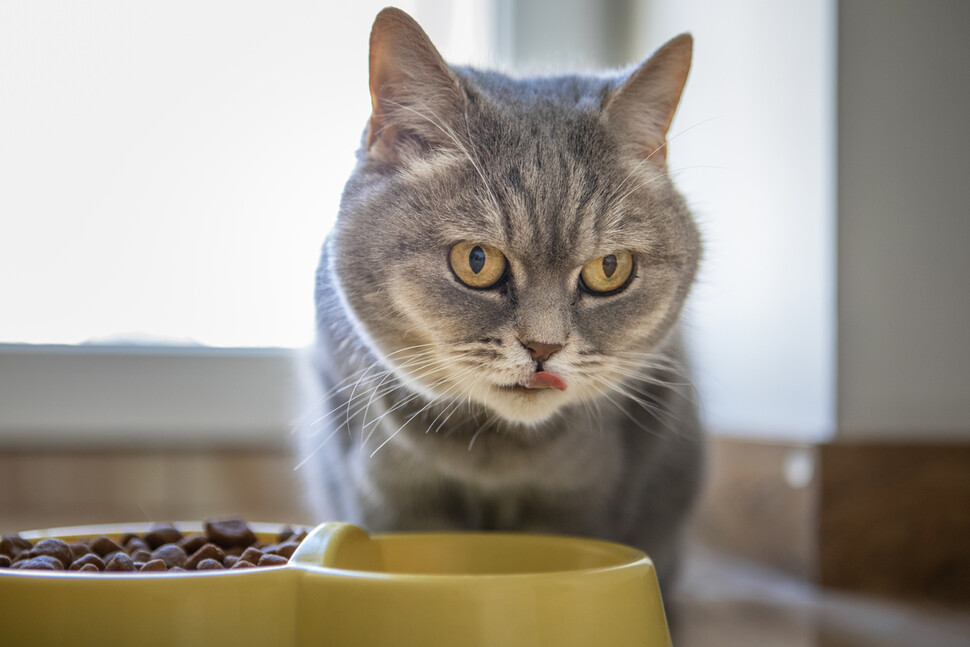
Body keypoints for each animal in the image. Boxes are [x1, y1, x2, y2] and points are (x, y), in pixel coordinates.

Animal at [296, 6, 704, 592]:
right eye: (476, 260)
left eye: (609, 269)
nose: (543, 347)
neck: (491, 456)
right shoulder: (389, 495)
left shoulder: (583, 500)